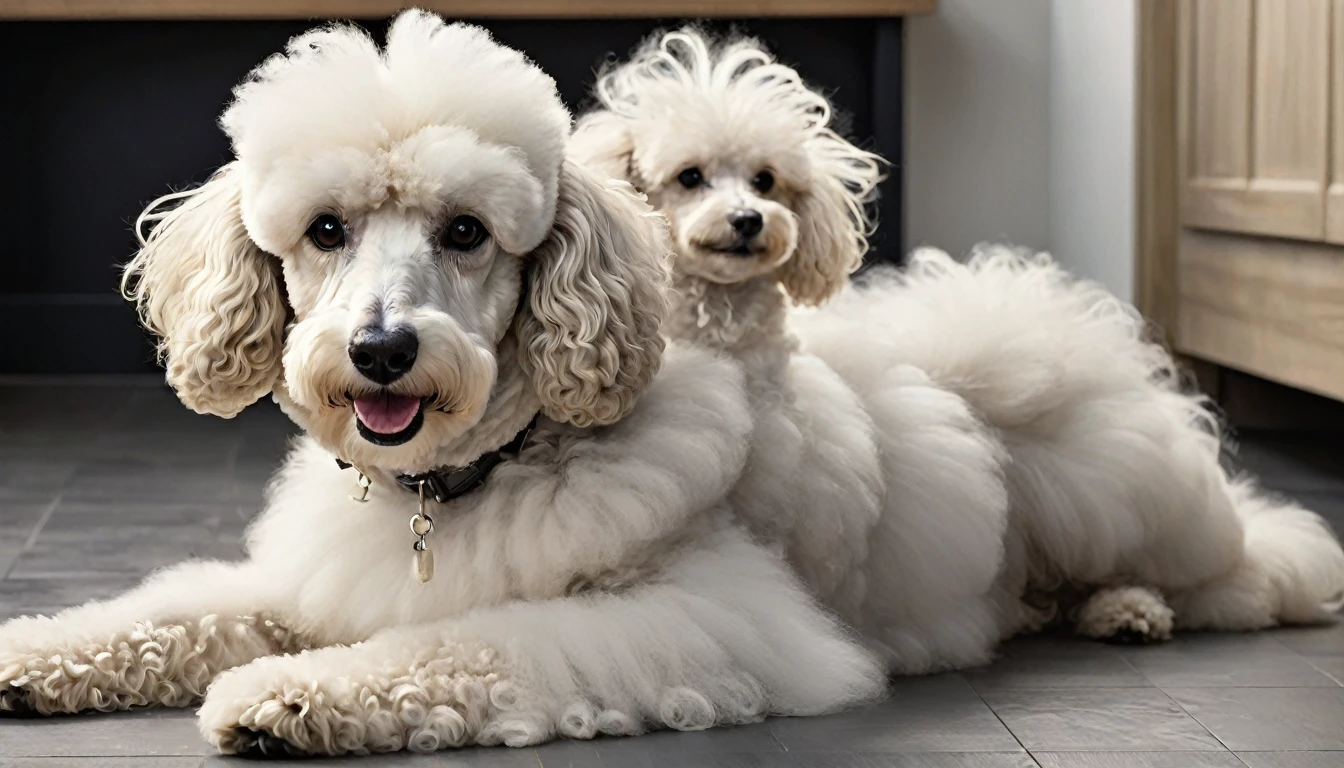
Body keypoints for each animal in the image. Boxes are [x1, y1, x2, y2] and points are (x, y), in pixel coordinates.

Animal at [0, 12, 881, 758]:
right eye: (325, 229)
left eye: (467, 231)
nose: (381, 350)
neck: (450, 482)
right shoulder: (316, 582)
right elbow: (184, 609)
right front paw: (36, 652)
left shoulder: (719, 616)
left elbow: (466, 642)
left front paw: (287, 692)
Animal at [572, 28, 1344, 672]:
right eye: (689, 177)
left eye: (765, 179)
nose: (748, 221)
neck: (725, 341)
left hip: (1116, 502)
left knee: (1211, 577)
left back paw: (1132, 609)